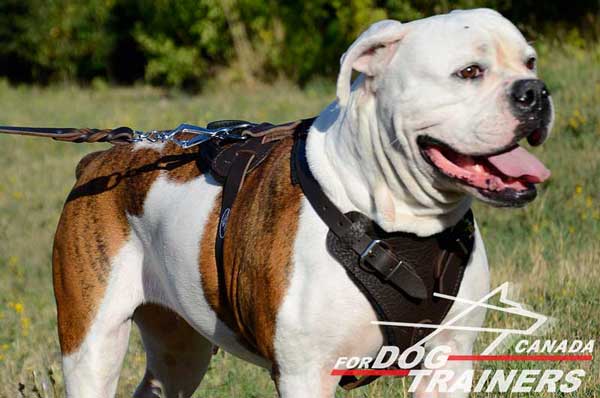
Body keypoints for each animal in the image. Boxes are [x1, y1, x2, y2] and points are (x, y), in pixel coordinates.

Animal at [52, 8, 552, 398]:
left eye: (529, 61)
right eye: (469, 72)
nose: (535, 91)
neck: (397, 222)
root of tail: (101, 159)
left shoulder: (449, 361)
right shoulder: (304, 374)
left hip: (180, 346)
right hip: (91, 344)